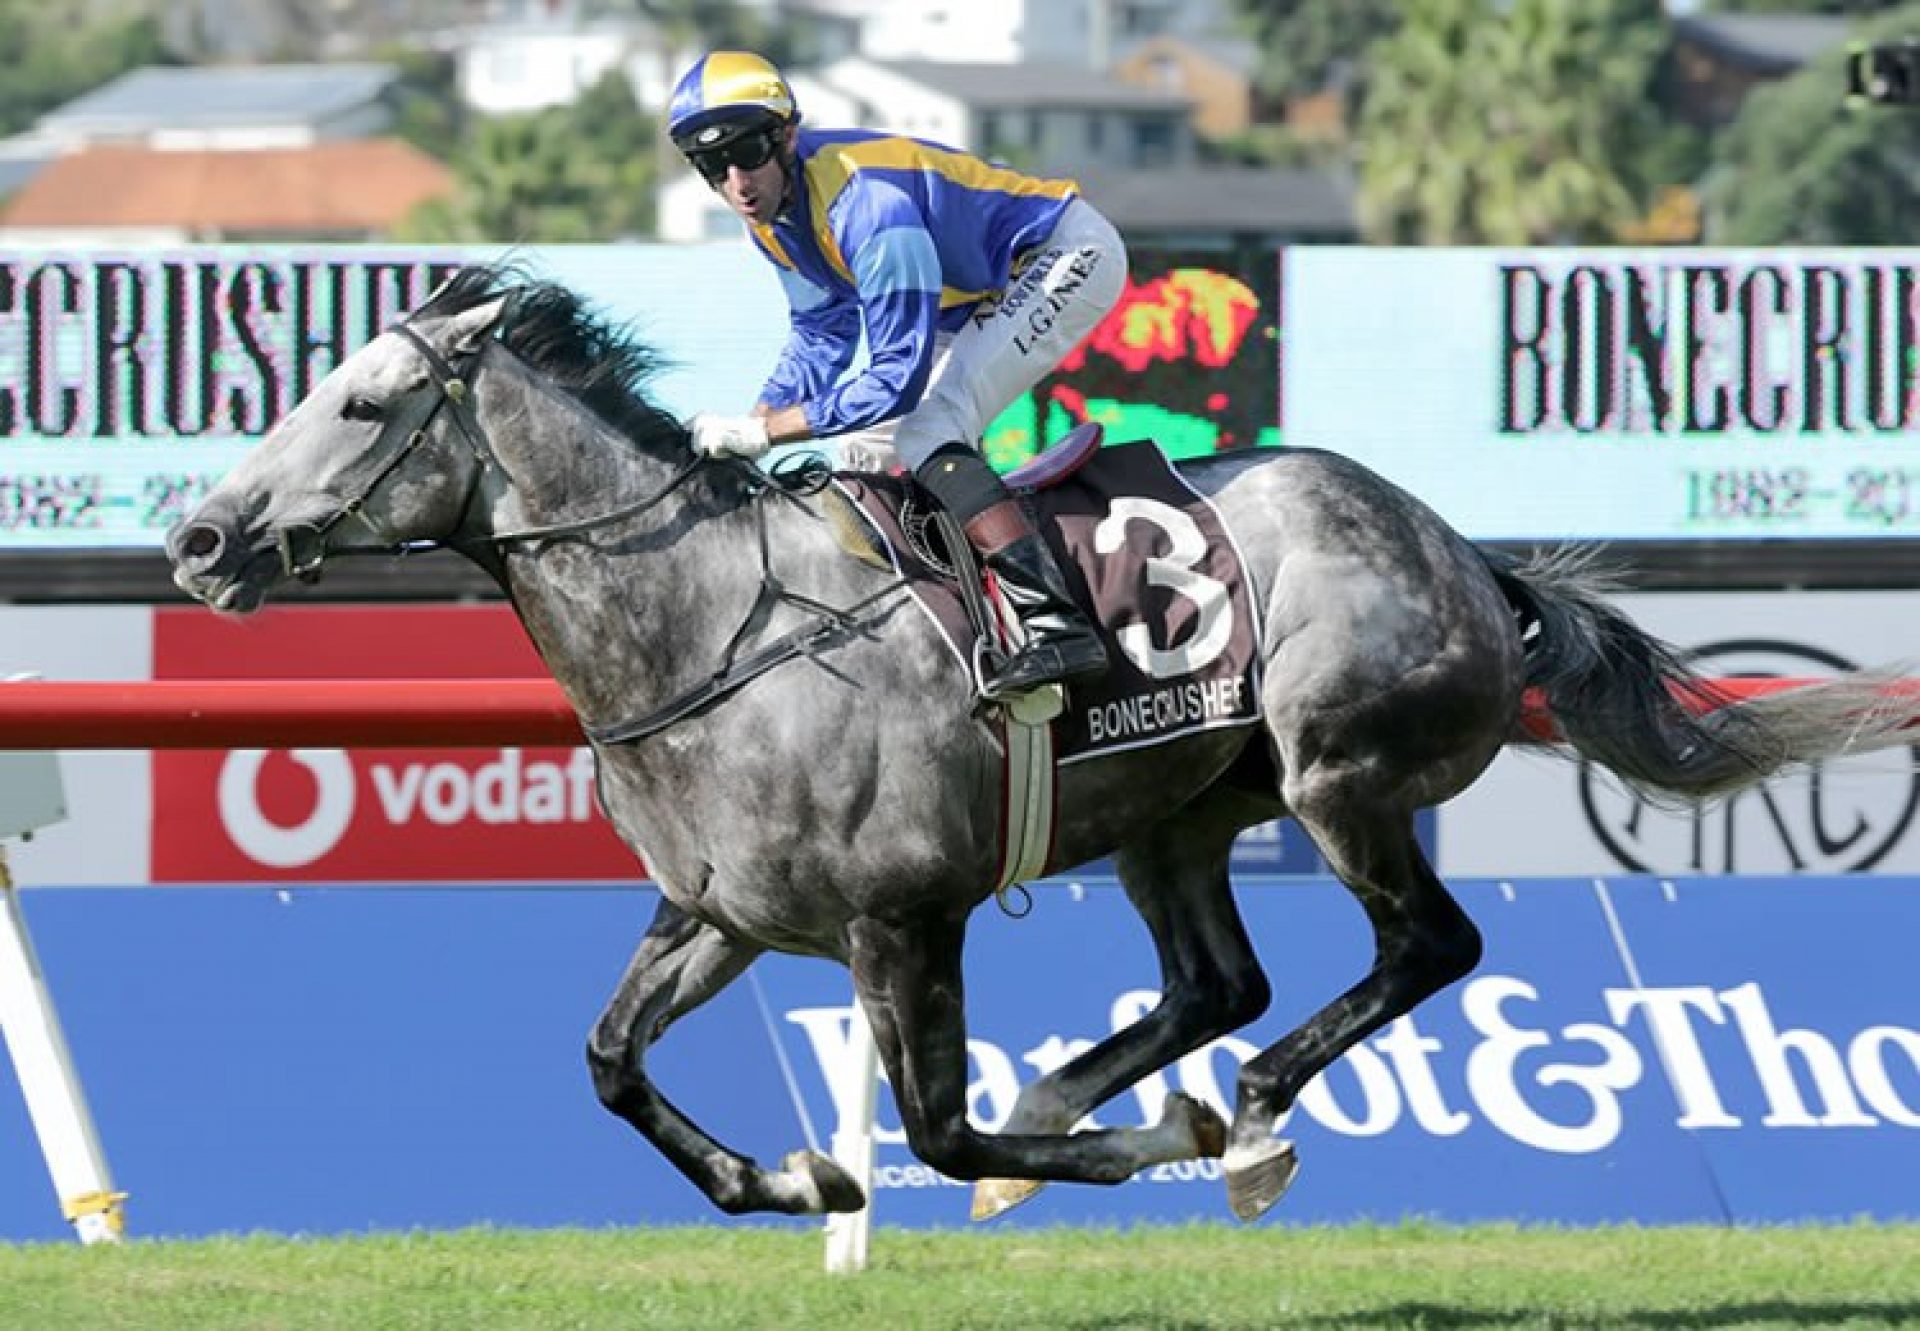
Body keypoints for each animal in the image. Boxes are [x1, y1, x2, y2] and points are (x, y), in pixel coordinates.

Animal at [165, 272, 1920, 1221]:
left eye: (360, 402)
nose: (198, 539)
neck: (711, 629)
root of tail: (1465, 554)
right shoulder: (724, 912)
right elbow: (608, 1058)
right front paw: (791, 1181)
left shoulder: (901, 916)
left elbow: (937, 1125)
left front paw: (1113, 1142)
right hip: (1180, 813)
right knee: (1220, 979)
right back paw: (1103, 1094)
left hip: (1341, 772)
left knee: (1421, 946)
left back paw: (1240, 1117)